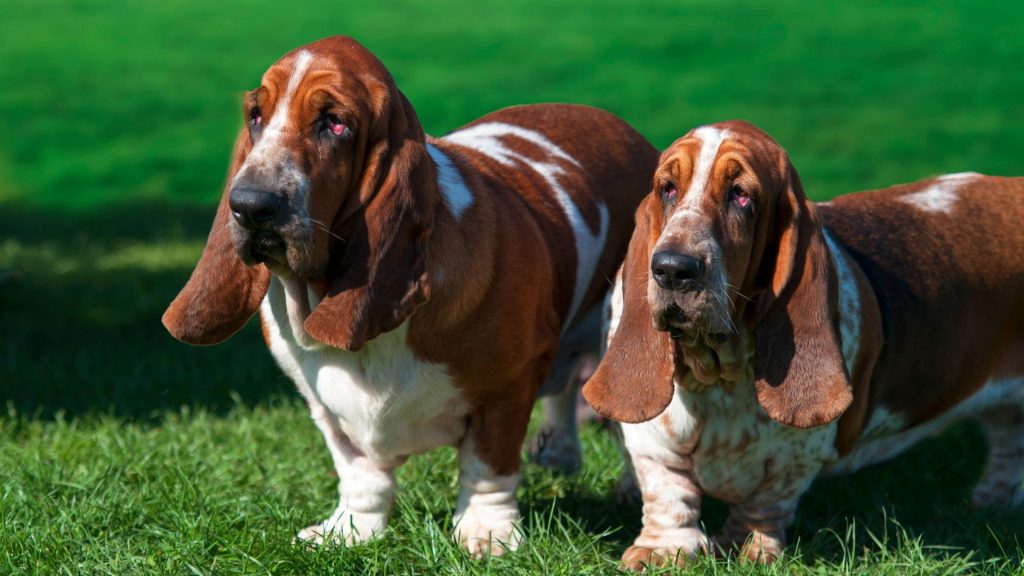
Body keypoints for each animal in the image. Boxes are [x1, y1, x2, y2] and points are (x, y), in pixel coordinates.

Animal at [159, 36, 655, 557]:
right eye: (256, 115)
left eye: (335, 122)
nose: (250, 206)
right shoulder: (325, 407)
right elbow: (360, 473)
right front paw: (350, 530)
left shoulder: (507, 389)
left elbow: (487, 466)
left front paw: (486, 533)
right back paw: (559, 452)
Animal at [585, 119, 1024, 565]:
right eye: (667, 188)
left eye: (741, 195)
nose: (672, 269)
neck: (720, 375)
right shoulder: (651, 444)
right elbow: (668, 494)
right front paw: (662, 551)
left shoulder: (798, 455)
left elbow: (766, 503)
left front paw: (749, 549)